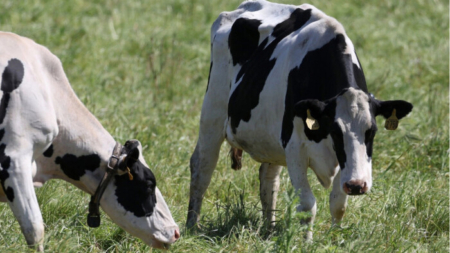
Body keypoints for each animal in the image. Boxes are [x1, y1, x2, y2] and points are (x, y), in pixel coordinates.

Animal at [185, 0, 412, 239]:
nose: (357, 185)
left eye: (372, 131)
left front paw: (334, 239)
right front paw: (306, 242)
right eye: (335, 131)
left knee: (268, 177)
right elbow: (307, 205)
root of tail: (244, 7)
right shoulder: (295, 148)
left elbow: (338, 204)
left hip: (270, 137)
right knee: (202, 166)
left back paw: (269, 228)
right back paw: (192, 225)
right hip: (213, 111)